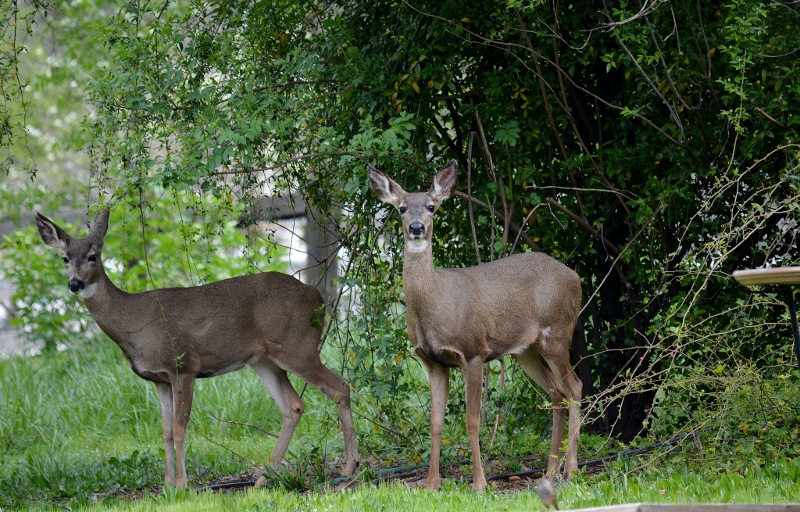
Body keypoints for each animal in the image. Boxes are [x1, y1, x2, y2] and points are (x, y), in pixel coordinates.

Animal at [35, 211, 360, 488]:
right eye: (64, 258)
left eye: (93, 256)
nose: (74, 283)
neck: (132, 321)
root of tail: (317, 297)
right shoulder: (159, 379)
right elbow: (165, 431)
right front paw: (166, 486)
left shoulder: (183, 365)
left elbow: (180, 427)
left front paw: (182, 485)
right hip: (264, 360)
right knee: (294, 406)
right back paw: (263, 479)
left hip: (297, 346)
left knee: (340, 386)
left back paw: (348, 468)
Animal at [368, 161, 580, 492]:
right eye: (401, 208)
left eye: (431, 206)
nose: (416, 228)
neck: (436, 304)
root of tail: (577, 278)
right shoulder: (433, 363)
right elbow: (436, 422)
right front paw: (432, 483)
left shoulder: (473, 352)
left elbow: (472, 420)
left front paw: (479, 483)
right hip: (527, 351)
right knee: (557, 394)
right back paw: (549, 472)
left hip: (557, 333)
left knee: (575, 388)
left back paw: (571, 470)